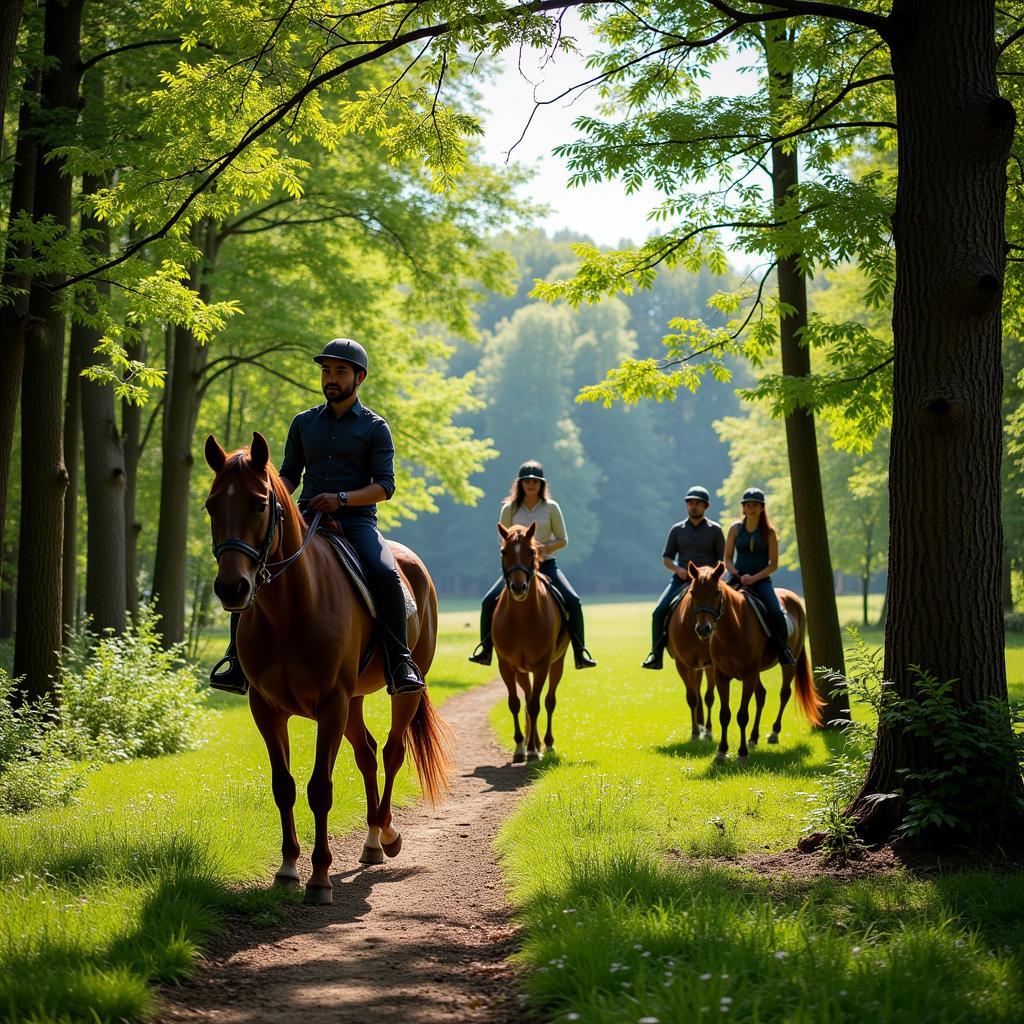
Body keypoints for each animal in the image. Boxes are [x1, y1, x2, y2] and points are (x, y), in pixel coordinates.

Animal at [203, 432, 448, 905]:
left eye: (258, 504)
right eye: (210, 505)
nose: (231, 588)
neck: (290, 610)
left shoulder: (331, 705)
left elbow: (320, 789)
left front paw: (319, 878)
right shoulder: (267, 710)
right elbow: (284, 786)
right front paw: (287, 870)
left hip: (399, 693)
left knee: (391, 752)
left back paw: (388, 835)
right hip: (354, 701)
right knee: (367, 753)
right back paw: (371, 842)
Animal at [489, 524, 569, 765]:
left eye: (532, 551)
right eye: (504, 552)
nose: (518, 587)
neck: (522, 619)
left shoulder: (542, 665)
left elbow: (536, 705)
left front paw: (533, 750)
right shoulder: (506, 666)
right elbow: (515, 703)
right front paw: (519, 747)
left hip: (557, 664)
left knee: (548, 701)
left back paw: (546, 745)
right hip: (522, 671)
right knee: (527, 698)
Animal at [688, 561, 823, 761]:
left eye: (717, 592)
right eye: (693, 592)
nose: (703, 629)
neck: (732, 629)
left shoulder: (749, 675)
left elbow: (742, 715)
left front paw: (742, 753)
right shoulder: (721, 676)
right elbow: (725, 714)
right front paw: (721, 751)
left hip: (788, 665)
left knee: (784, 694)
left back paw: (773, 733)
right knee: (761, 695)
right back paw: (753, 737)